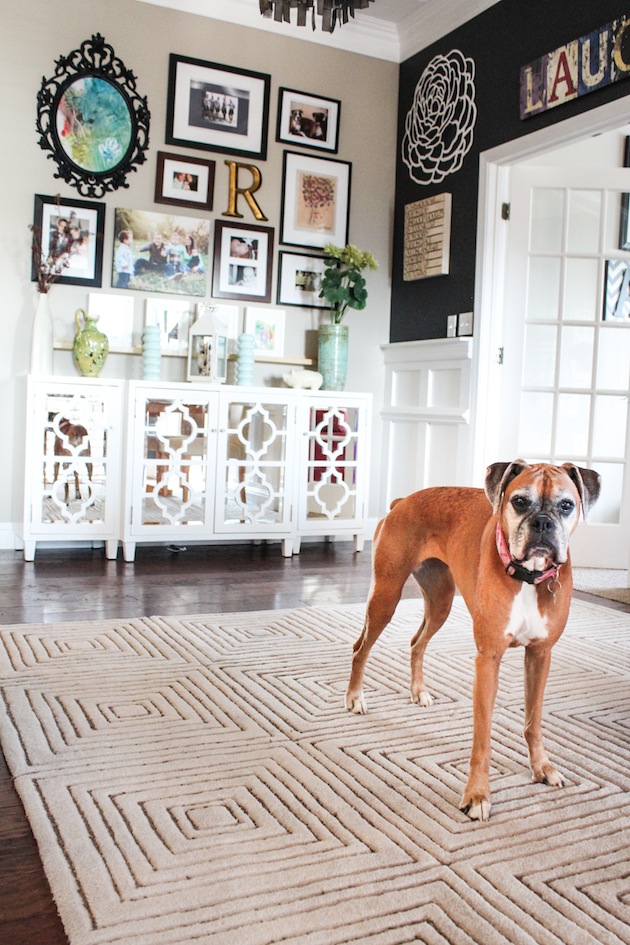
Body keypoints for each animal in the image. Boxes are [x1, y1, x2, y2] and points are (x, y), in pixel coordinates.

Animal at [348, 462, 604, 820]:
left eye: (566, 505)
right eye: (520, 501)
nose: (542, 523)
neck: (527, 577)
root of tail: (402, 501)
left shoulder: (540, 656)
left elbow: (534, 720)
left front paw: (541, 767)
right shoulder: (488, 659)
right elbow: (482, 738)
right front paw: (477, 795)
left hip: (440, 602)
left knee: (416, 643)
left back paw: (419, 692)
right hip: (386, 597)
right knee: (360, 648)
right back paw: (355, 698)